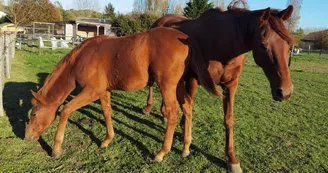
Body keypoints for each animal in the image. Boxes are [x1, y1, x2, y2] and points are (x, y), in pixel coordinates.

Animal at [24, 26, 219, 161]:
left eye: (34, 114)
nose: (27, 137)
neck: (82, 57)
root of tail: (186, 39)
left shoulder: (92, 91)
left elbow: (66, 110)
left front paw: (56, 149)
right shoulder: (103, 91)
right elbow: (107, 112)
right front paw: (107, 140)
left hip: (167, 85)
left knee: (172, 113)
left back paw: (161, 153)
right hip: (177, 85)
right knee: (187, 106)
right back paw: (185, 148)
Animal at [144, 6, 294, 172]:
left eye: (289, 45)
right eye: (262, 44)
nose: (285, 92)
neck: (223, 45)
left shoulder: (231, 85)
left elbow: (228, 119)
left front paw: (232, 160)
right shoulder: (193, 80)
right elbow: (188, 106)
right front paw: (185, 137)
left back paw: (164, 114)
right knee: (151, 85)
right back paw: (148, 107)